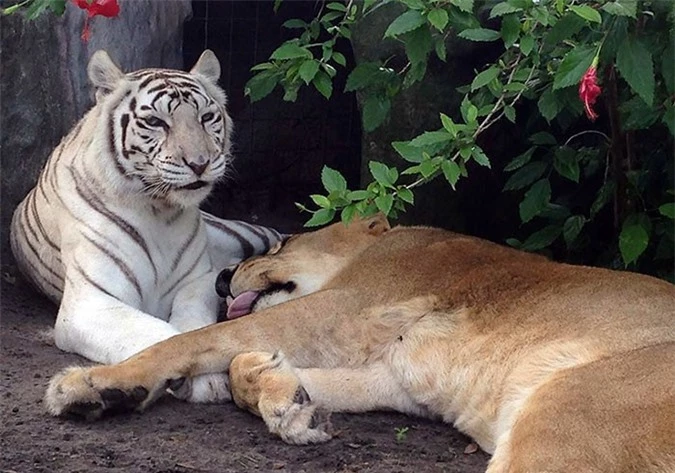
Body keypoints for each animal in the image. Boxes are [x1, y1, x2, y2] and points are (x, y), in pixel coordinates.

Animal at [11, 49, 280, 400]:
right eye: (155, 122)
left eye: (207, 117)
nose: (200, 163)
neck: (159, 211)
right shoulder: (90, 302)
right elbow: (158, 333)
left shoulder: (197, 282)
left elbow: (195, 325)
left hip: (243, 235)